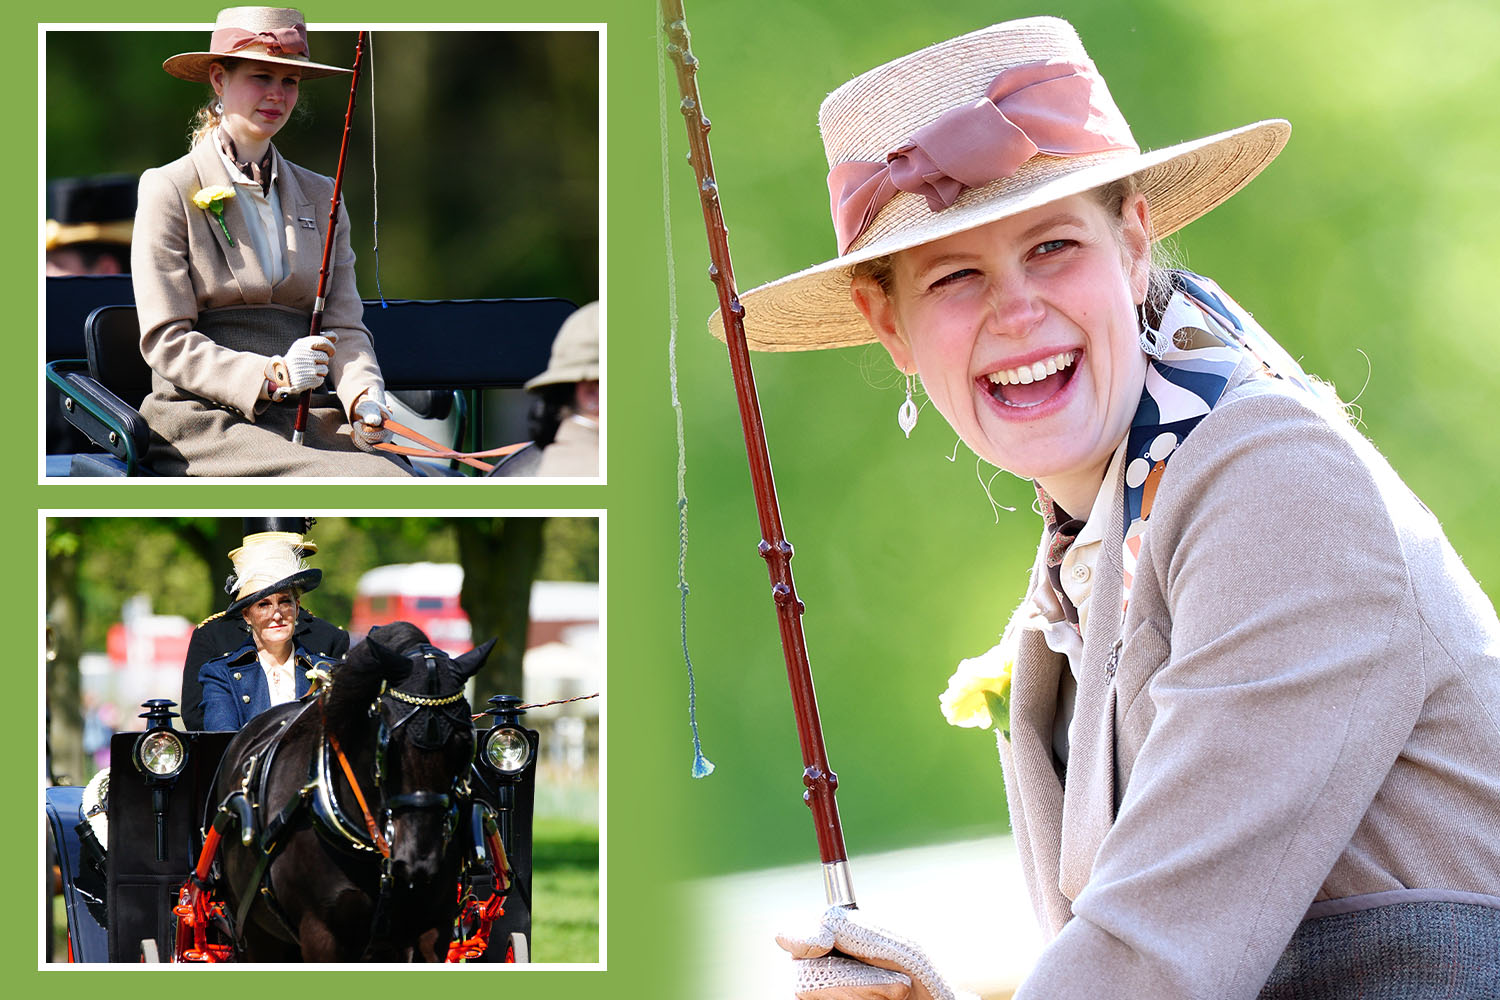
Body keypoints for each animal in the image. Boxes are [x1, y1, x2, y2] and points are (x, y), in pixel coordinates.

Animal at [208, 626, 492, 959]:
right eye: (389, 744)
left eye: (464, 743)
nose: (419, 859)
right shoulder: (321, 934)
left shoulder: (431, 930)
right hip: (255, 933)